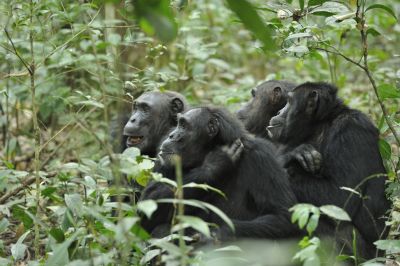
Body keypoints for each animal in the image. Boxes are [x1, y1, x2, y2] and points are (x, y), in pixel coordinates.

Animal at [139, 107, 298, 240]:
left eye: (183, 126)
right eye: (178, 124)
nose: (171, 135)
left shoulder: (262, 156)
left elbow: (281, 216)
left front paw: (216, 233)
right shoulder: (162, 160)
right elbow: (148, 205)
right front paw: (217, 162)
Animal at [268, 82, 390, 258]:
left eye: (289, 102)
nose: (278, 112)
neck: (319, 125)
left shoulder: (351, 131)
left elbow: (340, 197)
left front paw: (294, 156)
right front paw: (295, 154)